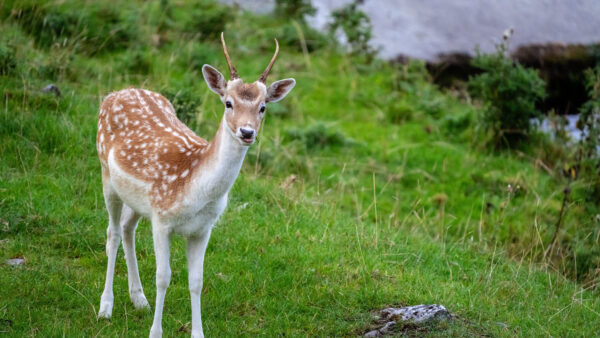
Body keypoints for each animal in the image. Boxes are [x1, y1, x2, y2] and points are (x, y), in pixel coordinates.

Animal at [94, 32, 298, 338]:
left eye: (263, 107)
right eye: (228, 103)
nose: (247, 132)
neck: (194, 189)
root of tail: (114, 93)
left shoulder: (203, 228)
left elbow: (197, 280)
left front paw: (197, 332)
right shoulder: (162, 219)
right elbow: (163, 277)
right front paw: (155, 332)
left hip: (137, 200)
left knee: (128, 228)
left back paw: (139, 298)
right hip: (107, 175)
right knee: (113, 233)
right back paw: (105, 307)